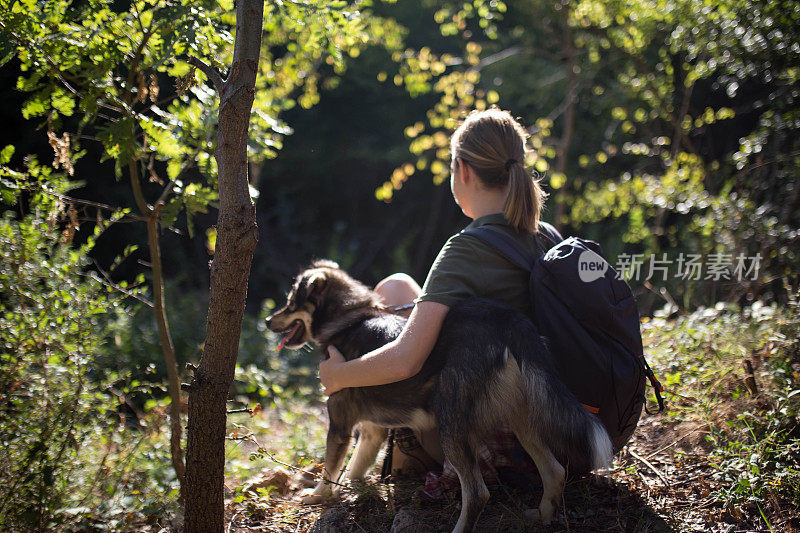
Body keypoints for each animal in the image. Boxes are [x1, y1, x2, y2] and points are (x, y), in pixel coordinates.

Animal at [266, 262, 608, 532]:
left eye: (290, 302)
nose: (268, 321)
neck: (350, 320)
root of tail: (508, 321)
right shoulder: (373, 431)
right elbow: (355, 468)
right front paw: (355, 491)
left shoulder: (339, 427)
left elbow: (329, 471)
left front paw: (316, 498)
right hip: (521, 418)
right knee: (554, 471)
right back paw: (542, 517)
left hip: (452, 425)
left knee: (478, 492)